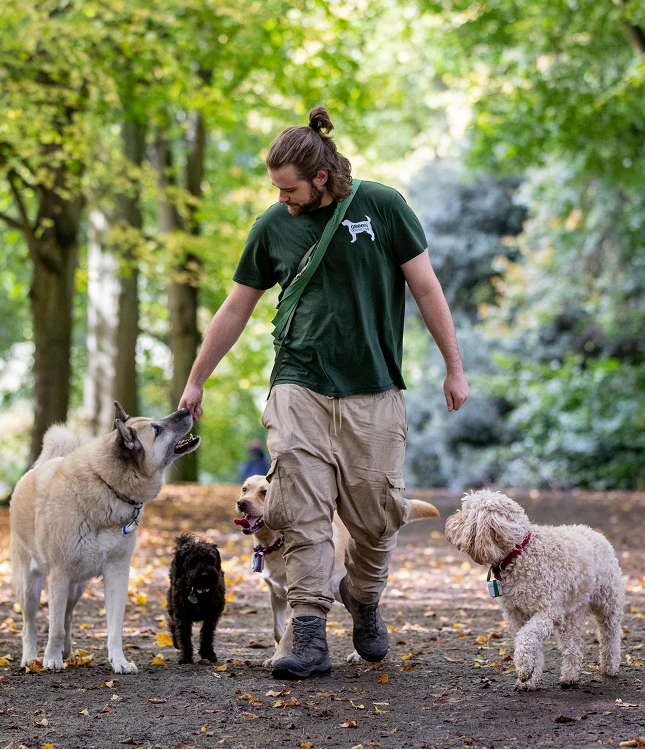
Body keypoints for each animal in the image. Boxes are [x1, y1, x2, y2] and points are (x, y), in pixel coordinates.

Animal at [10, 406, 199, 676]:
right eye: (156, 429)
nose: (186, 409)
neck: (107, 485)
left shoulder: (117, 573)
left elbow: (114, 628)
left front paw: (119, 661)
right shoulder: (59, 574)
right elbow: (54, 627)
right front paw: (51, 659)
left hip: (77, 586)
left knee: (67, 616)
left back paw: (66, 651)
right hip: (30, 585)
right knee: (30, 624)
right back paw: (31, 657)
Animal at [166, 536, 226, 664]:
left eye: (210, 559)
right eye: (193, 561)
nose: (204, 574)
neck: (199, 593)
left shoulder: (212, 616)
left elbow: (207, 634)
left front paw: (208, 653)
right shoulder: (182, 616)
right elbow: (184, 636)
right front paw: (186, 657)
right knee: (172, 624)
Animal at [236, 476, 438, 668]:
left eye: (264, 492)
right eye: (244, 489)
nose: (241, 503)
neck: (277, 542)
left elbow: (287, 633)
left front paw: (278, 657)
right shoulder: (276, 594)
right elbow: (278, 630)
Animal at [446, 494, 620, 692]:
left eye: (465, 513)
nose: (449, 521)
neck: (520, 553)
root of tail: (594, 532)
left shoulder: (547, 612)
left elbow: (526, 638)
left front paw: (524, 670)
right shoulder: (516, 615)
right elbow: (528, 642)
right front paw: (528, 677)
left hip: (607, 603)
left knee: (610, 636)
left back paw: (610, 667)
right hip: (571, 615)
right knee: (572, 647)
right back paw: (569, 677)